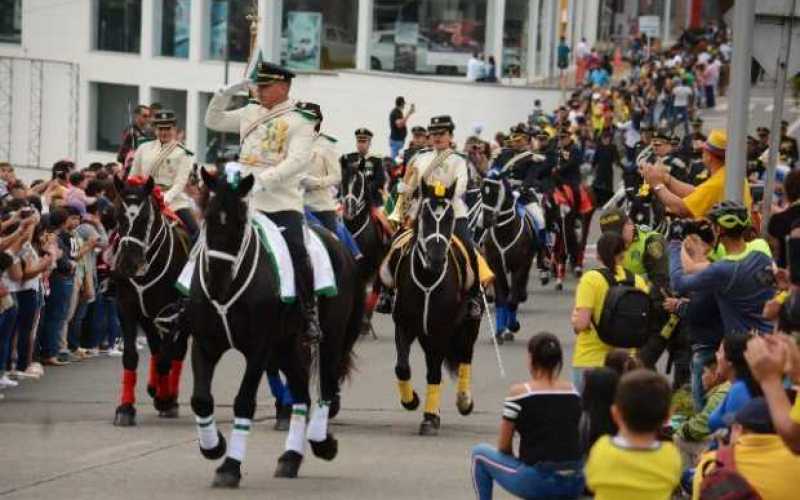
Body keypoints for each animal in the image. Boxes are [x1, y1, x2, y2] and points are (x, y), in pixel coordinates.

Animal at [111, 176, 191, 426]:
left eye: (145, 217)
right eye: (118, 215)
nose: (128, 263)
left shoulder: (172, 312)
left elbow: (167, 357)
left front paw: (165, 399)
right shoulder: (127, 307)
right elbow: (130, 357)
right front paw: (126, 408)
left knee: (176, 353)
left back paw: (169, 397)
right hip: (147, 316)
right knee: (156, 348)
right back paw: (154, 387)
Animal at [186, 170, 360, 486]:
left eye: (240, 222)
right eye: (206, 218)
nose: (216, 283)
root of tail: (338, 243)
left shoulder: (259, 348)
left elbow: (244, 402)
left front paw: (230, 467)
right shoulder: (205, 343)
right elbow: (201, 400)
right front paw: (214, 446)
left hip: (331, 338)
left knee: (327, 385)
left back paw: (322, 443)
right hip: (285, 347)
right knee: (302, 394)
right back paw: (290, 458)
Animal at [384, 180, 478, 434]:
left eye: (450, 217)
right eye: (425, 216)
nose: (436, 259)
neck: (428, 277)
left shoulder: (441, 330)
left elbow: (435, 373)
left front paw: (429, 418)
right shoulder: (404, 325)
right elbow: (402, 367)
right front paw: (412, 400)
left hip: (469, 326)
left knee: (465, 357)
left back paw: (464, 400)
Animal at [482, 176, 536, 344]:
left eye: (494, 193)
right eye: (482, 191)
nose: (486, 221)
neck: (505, 232)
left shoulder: (519, 267)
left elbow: (512, 300)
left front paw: (513, 325)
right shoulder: (496, 267)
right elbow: (502, 299)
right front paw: (500, 331)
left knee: (516, 292)